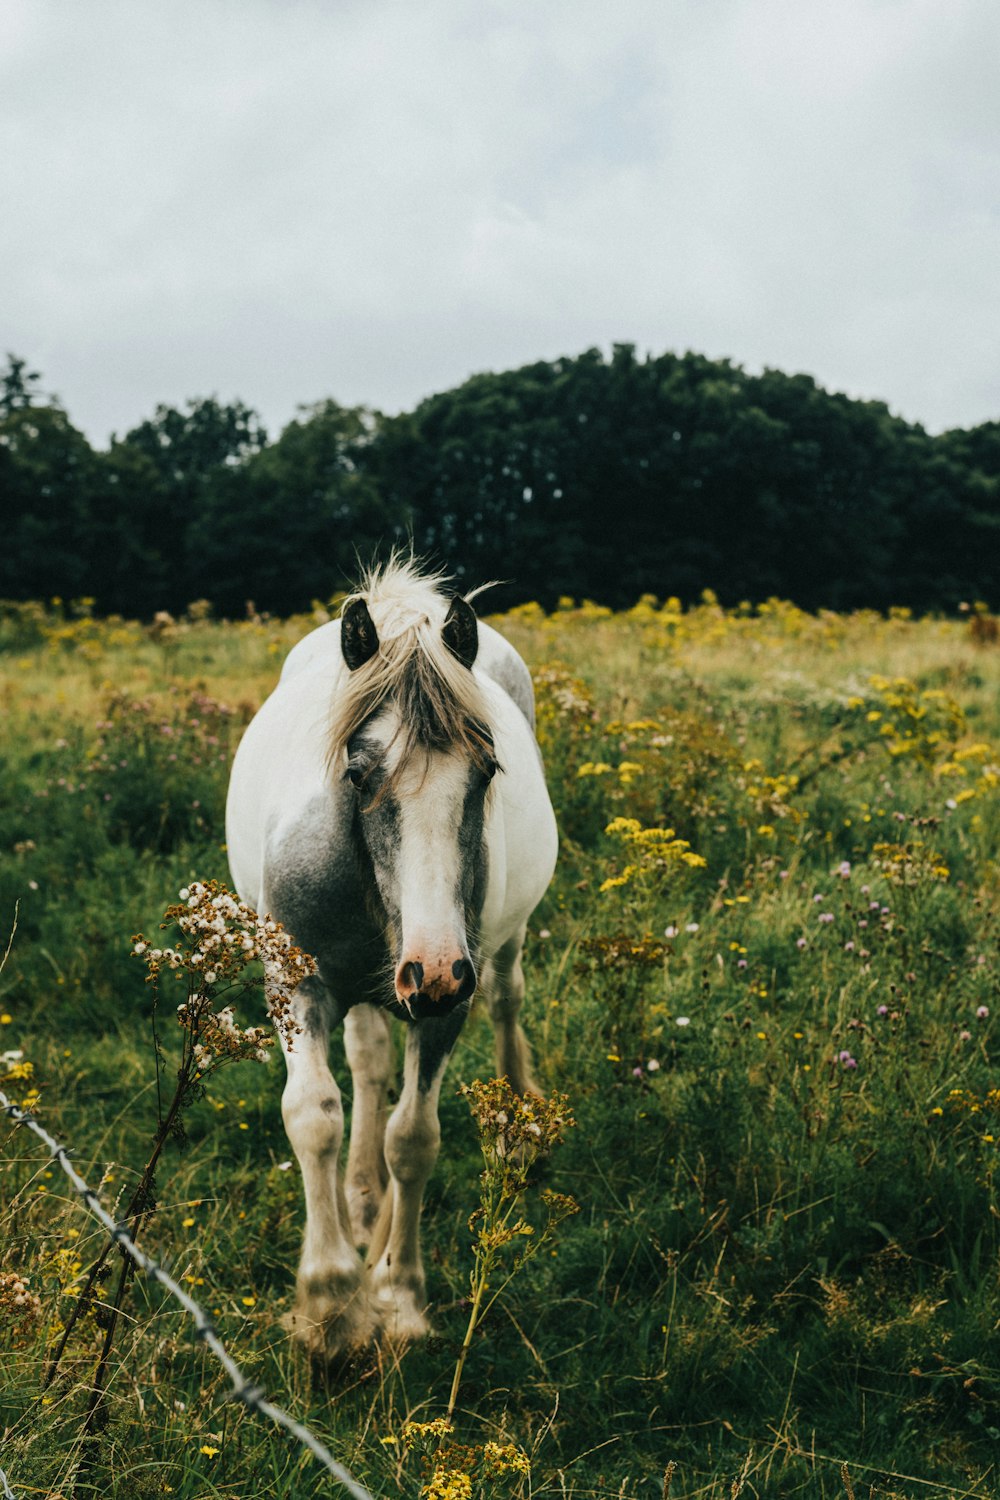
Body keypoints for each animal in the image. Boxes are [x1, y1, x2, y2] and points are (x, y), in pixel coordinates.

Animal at [223, 564, 560, 1362]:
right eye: (356, 773)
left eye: (487, 769)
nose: (433, 968)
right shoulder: (299, 987)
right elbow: (314, 1115)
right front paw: (331, 1305)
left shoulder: (446, 1005)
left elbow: (414, 1137)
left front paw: (399, 1296)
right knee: (369, 1062)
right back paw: (360, 1192)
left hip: (498, 950)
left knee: (507, 999)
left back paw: (515, 1119)